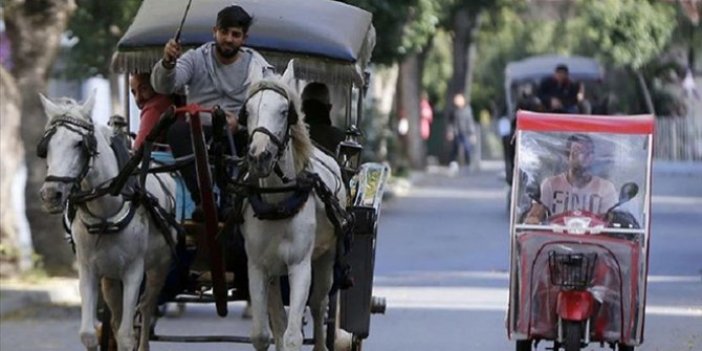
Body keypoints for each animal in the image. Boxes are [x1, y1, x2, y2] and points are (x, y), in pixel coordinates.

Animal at [37, 94, 176, 351]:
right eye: (46, 147)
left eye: (79, 144)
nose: (51, 195)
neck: (105, 213)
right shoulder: (89, 269)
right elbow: (89, 334)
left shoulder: (134, 271)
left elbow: (126, 336)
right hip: (111, 277)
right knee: (118, 317)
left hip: (159, 267)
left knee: (146, 307)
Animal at [242, 67, 350, 350]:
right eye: (248, 111)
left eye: (284, 111)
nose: (259, 156)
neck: (277, 202)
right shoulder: (257, 266)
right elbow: (262, 334)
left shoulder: (300, 265)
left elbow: (293, 337)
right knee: (278, 319)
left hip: (326, 258)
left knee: (319, 304)